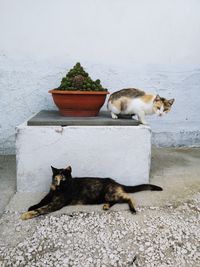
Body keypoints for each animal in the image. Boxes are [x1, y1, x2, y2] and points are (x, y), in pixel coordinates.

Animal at [20, 166, 162, 221]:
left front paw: (27, 215)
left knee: (128, 198)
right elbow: (41, 202)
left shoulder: (56, 203)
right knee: (115, 201)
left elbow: (43, 208)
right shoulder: (49, 195)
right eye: (56, 179)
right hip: (108, 195)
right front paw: (31, 207)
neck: (58, 190)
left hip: (111, 193)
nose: (58, 184)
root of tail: (116, 182)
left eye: (63, 179)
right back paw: (106, 206)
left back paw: (132, 209)